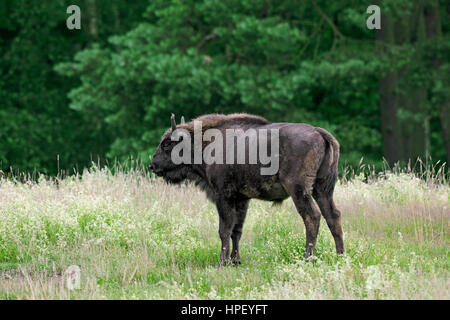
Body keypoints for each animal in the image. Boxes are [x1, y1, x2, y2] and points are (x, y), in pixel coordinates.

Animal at [149, 112, 342, 264]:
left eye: (167, 143)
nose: (152, 165)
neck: (205, 142)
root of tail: (318, 131)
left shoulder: (223, 197)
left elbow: (224, 229)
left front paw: (223, 262)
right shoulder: (242, 199)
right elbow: (237, 230)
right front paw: (236, 261)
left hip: (299, 190)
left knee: (312, 217)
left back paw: (307, 258)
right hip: (322, 190)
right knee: (332, 216)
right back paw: (340, 256)